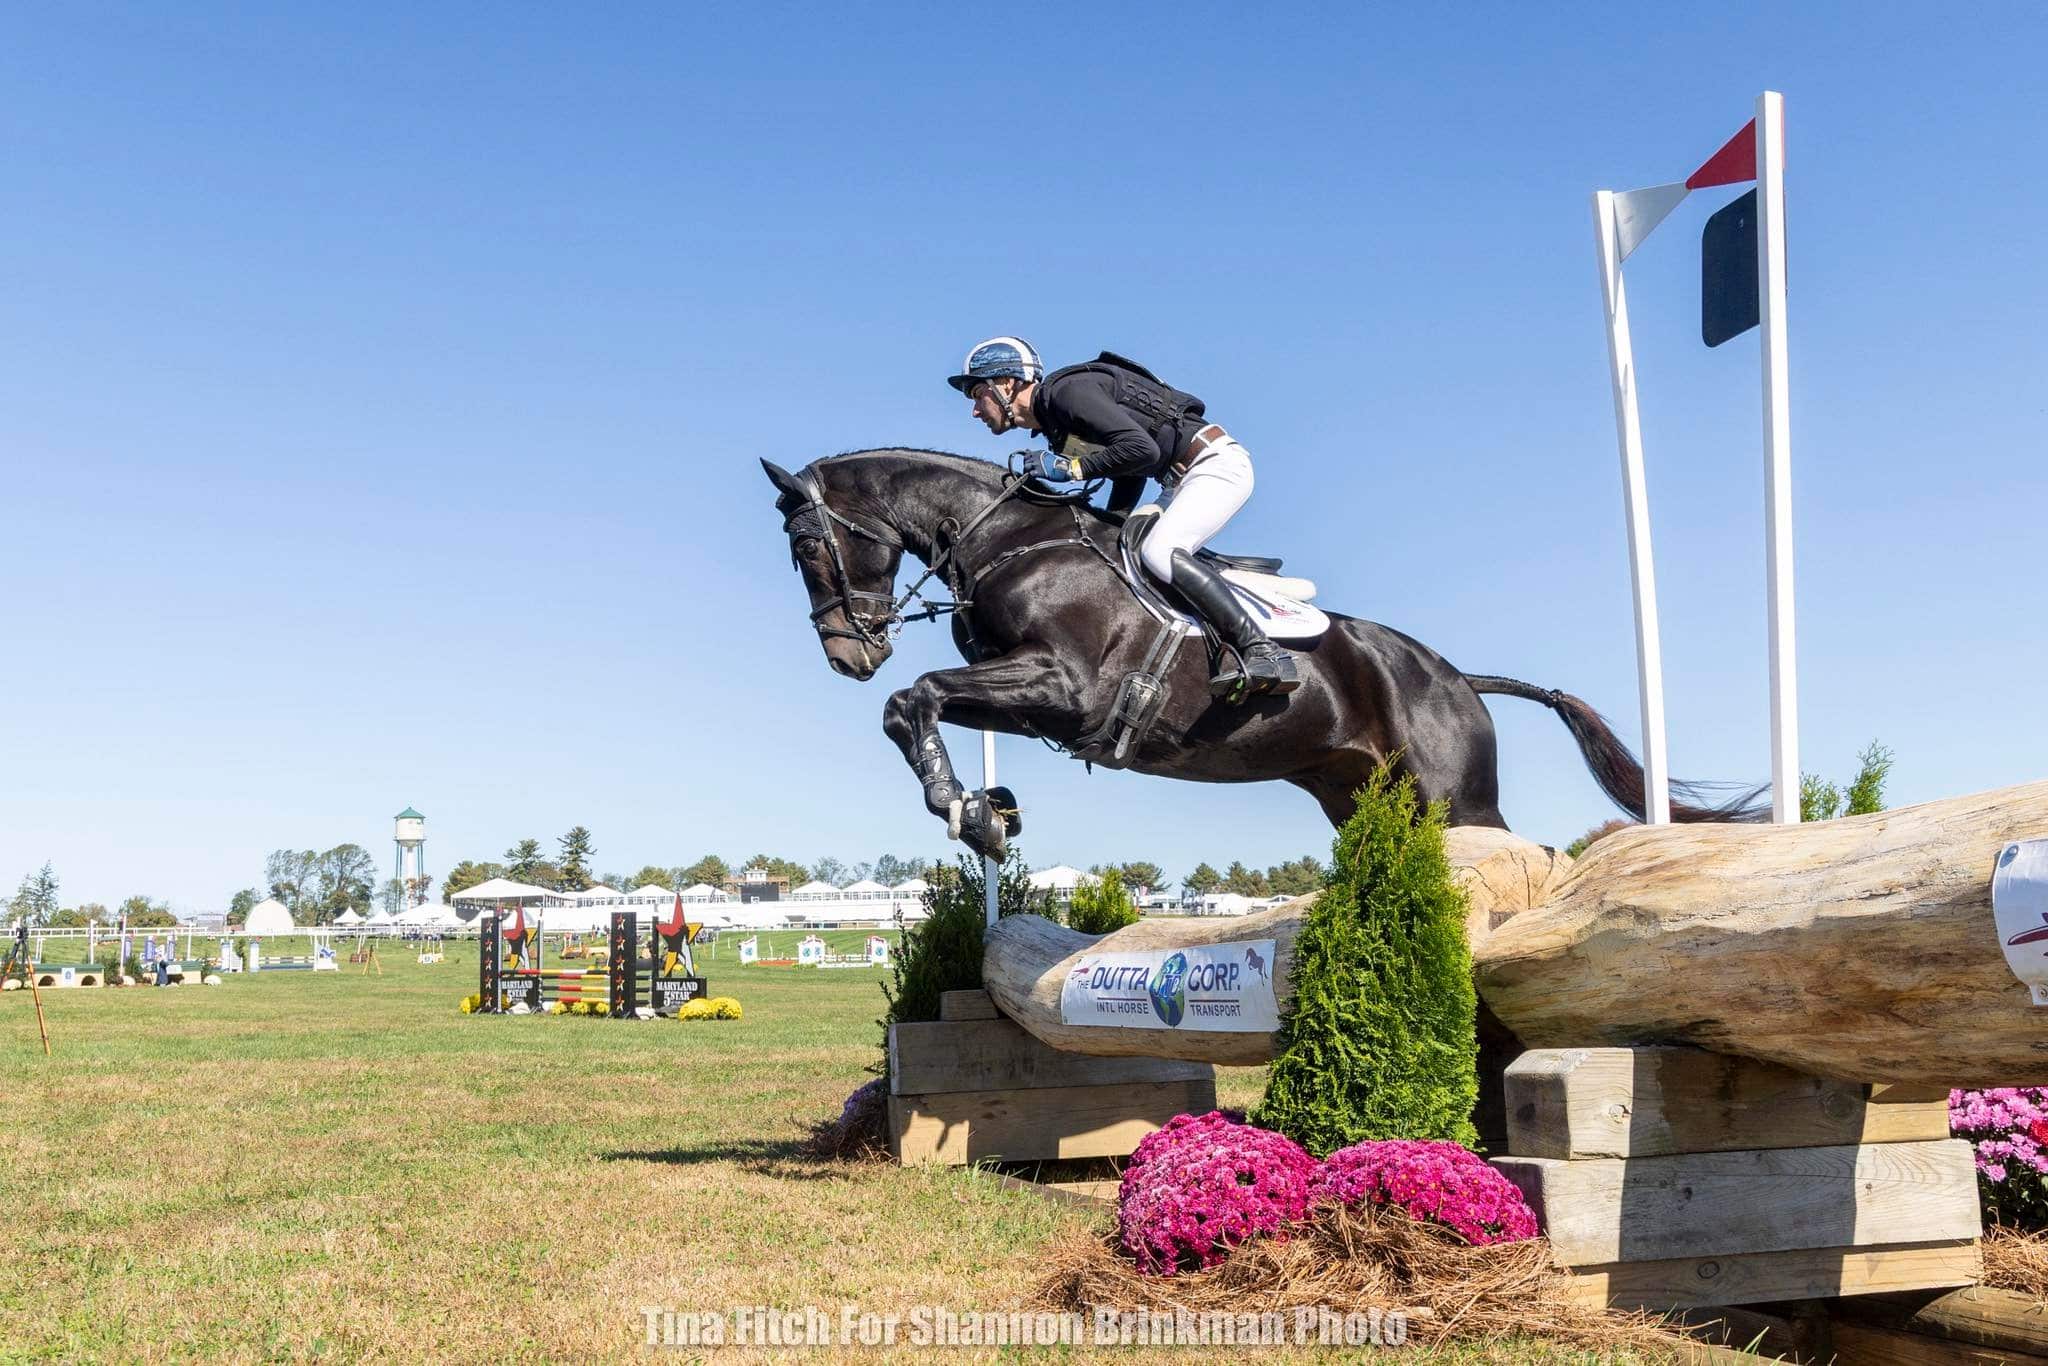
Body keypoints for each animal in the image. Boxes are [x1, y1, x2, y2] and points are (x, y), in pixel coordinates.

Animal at [761, 448, 1760, 859]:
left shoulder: (1065, 686)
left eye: (808, 546)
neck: (1012, 538)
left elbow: (914, 696)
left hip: (1452, 796)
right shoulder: (1023, 693)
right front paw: (987, 812)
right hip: (1358, 797)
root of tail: (1455, 677)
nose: (848, 655)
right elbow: (918, 703)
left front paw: (963, 812)